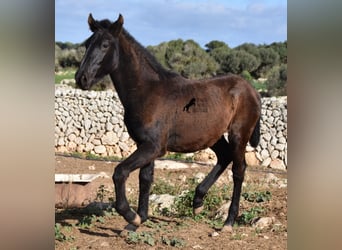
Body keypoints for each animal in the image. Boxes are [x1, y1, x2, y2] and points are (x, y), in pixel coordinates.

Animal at [75, 13, 262, 232]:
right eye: (87, 44)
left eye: (105, 45)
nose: (81, 78)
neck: (147, 92)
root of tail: (251, 89)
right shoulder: (145, 144)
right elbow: (145, 178)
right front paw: (138, 221)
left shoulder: (155, 147)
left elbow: (120, 172)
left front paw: (131, 217)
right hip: (213, 136)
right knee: (224, 157)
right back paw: (198, 202)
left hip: (239, 134)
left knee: (238, 171)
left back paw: (228, 222)